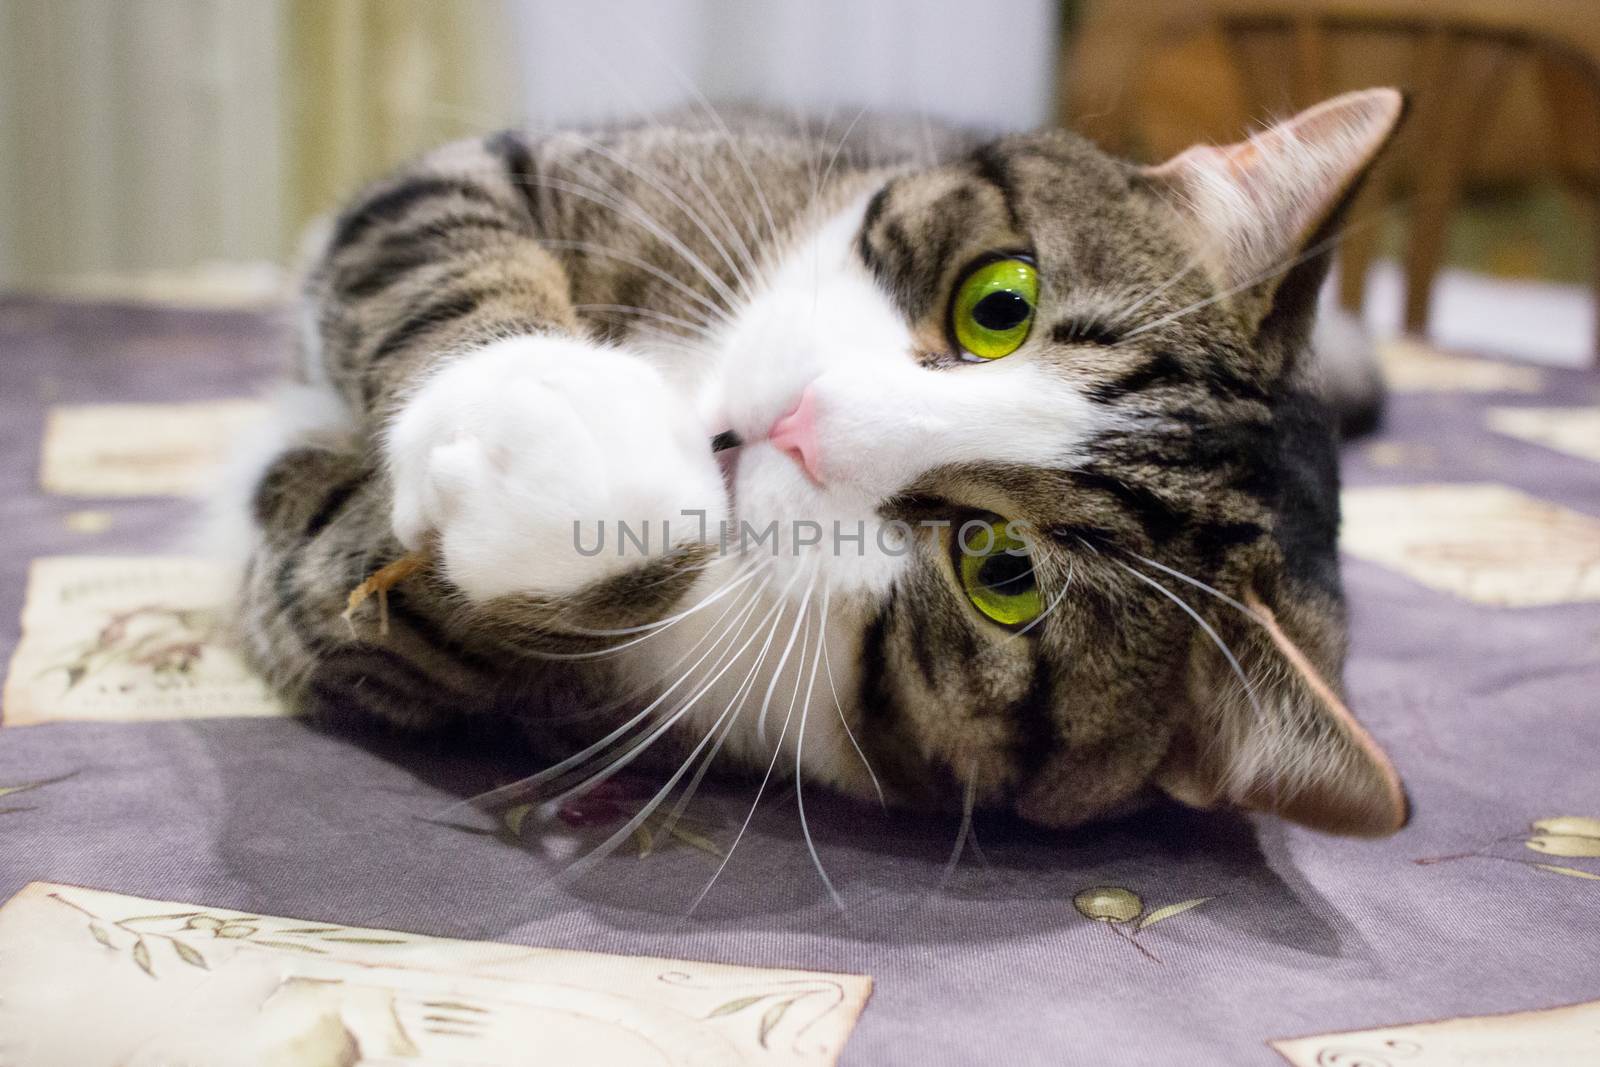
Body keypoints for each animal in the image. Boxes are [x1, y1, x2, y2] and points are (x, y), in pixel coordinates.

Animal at [232, 89, 1408, 844]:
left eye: (1002, 571)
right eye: (999, 305)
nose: (799, 422)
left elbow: (340, 590)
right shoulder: (536, 171)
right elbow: (434, 235)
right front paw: (539, 404)